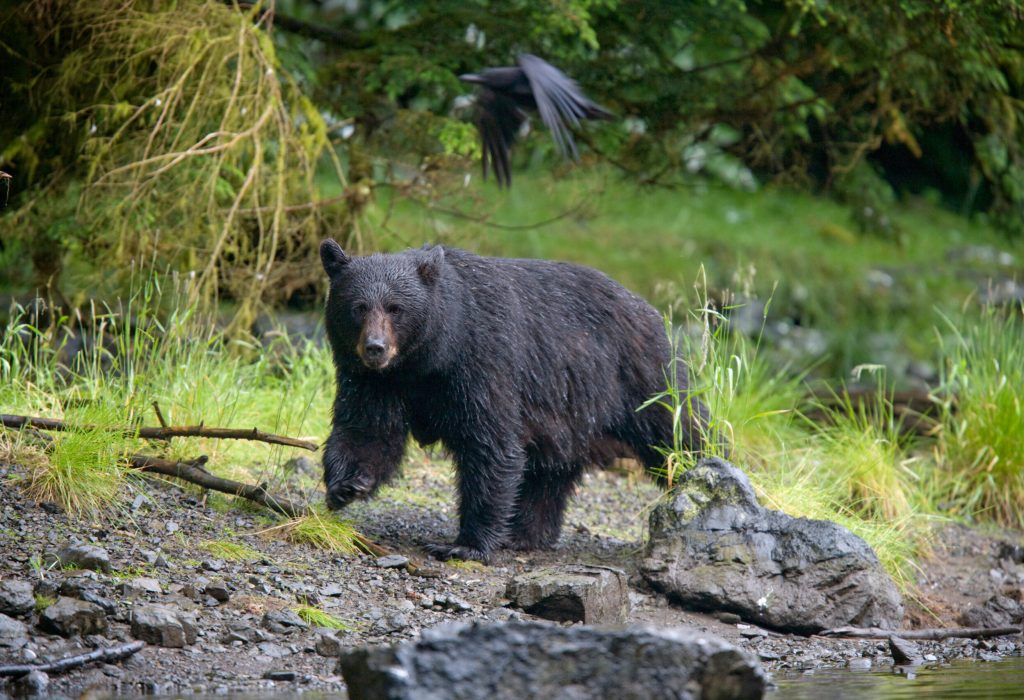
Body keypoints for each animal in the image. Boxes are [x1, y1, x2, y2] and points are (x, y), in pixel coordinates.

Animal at [319, 239, 712, 562]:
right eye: (358, 307)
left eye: (395, 307)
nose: (375, 347)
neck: (430, 356)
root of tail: (649, 309)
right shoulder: (376, 382)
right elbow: (368, 430)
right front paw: (346, 485)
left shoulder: (483, 362)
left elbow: (490, 444)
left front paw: (465, 544)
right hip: (568, 409)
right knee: (550, 470)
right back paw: (526, 534)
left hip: (638, 376)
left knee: (676, 431)